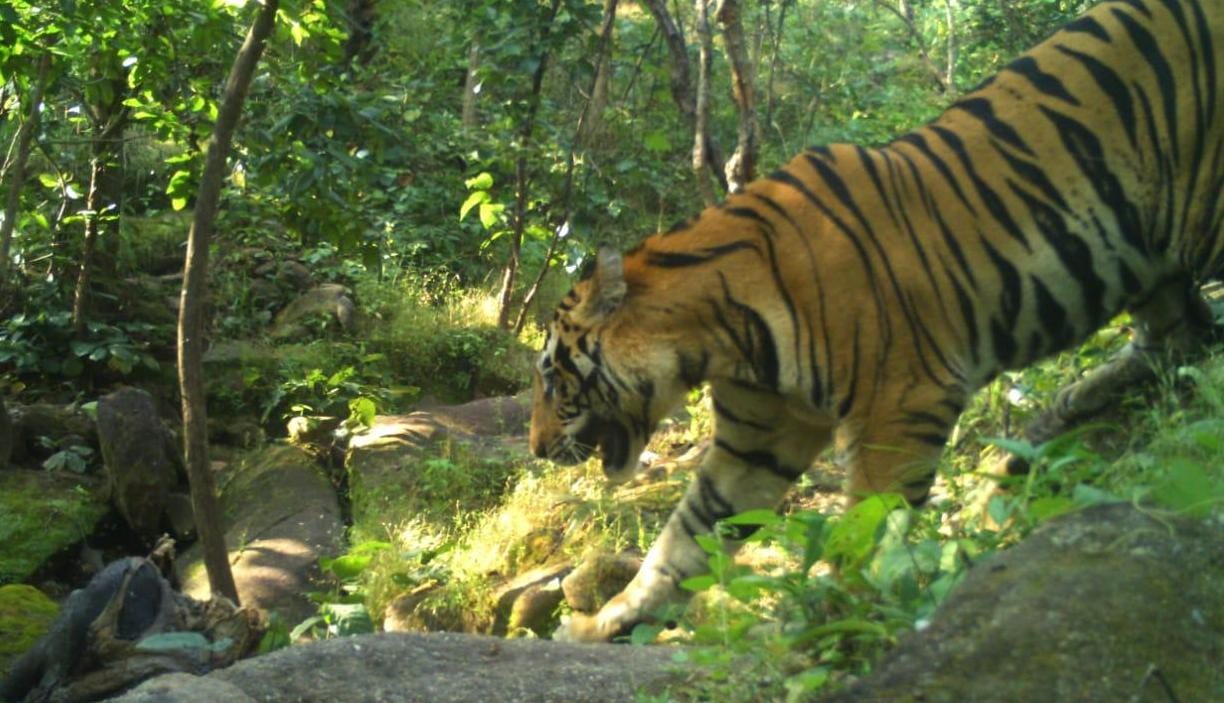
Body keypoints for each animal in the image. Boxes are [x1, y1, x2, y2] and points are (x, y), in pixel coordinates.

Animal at [526, 0, 1224, 646]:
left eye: (555, 381)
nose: (535, 449)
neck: (718, 337)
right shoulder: (757, 437)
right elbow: (687, 537)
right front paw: (606, 622)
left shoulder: (902, 403)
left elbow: (868, 525)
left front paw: (833, 623)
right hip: (1149, 267)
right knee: (1180, 342)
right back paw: (1049, 430)